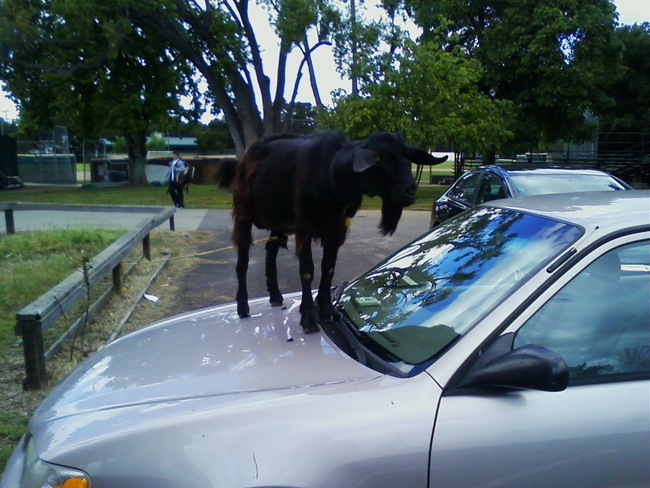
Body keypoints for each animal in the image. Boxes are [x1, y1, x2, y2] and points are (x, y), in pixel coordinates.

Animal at [218, 131, 446, 332]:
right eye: (377, 157)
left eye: (407, 156)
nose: (409, 190)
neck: (330, 176)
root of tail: (247, 155)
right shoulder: (304, 226)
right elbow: (307, 270)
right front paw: (309, 318)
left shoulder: (338, 229)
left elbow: (328, 267)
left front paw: (327, 311)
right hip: (243, 212)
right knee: (243, 259)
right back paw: (242, 307)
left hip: (279, 220)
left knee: (270, 250)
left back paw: (274, 295)